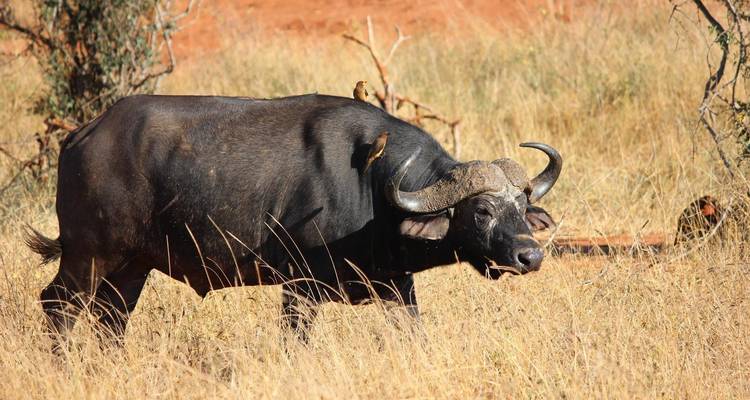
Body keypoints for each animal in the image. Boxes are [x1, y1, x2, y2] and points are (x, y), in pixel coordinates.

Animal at [27, 94, 561, 341]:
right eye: (482, 211)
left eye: (521, 207)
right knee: (59, 307)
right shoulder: (299, 289)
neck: (372, 189)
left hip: (131, 267)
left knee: (111, 320)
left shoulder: (395, 286)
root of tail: (81, 135)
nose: (529, 256)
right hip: (87, 257)